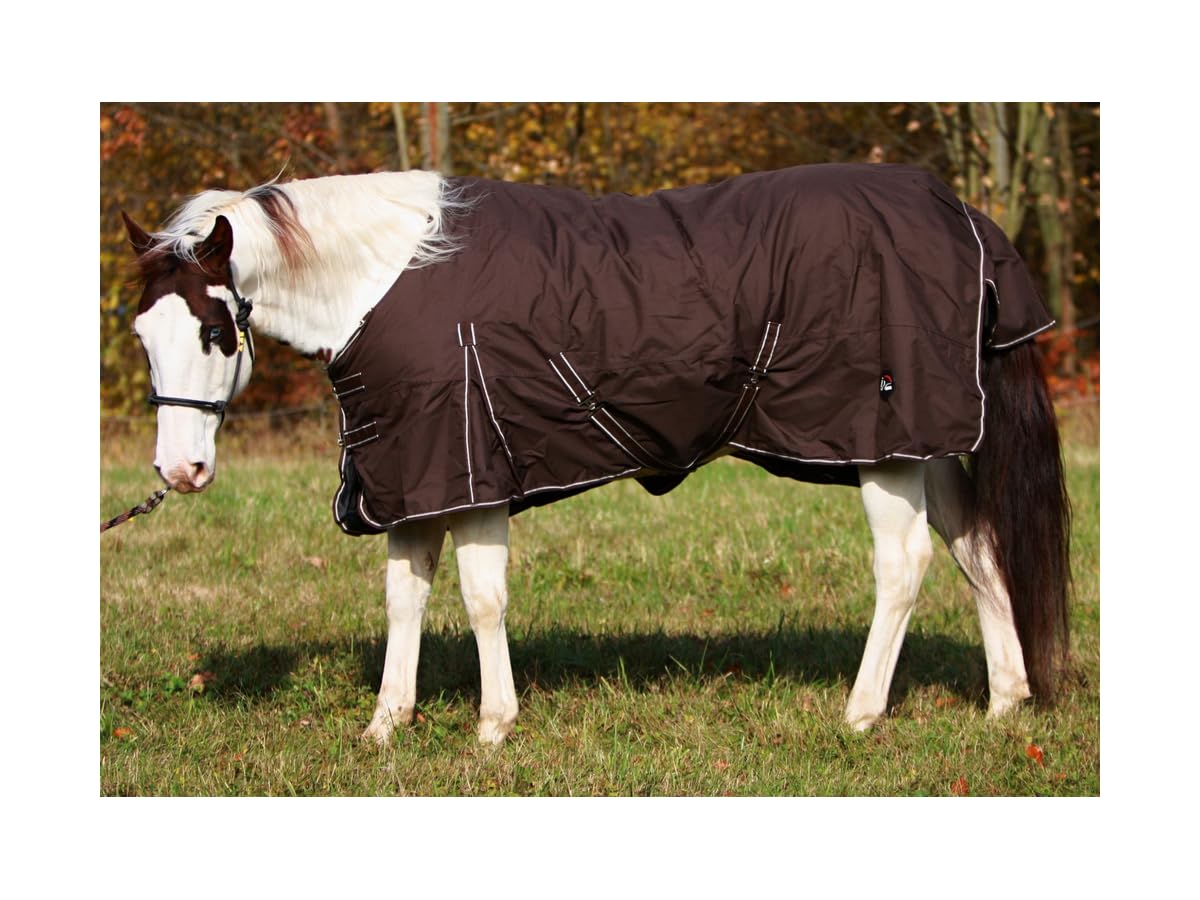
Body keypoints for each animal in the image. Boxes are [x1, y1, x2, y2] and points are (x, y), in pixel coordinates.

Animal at [120, 164, 1070, 746]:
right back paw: (1004, 701)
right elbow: (404, 598)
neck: (383, 279)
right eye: (141, 333)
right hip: (931, 440)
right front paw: (386, 726)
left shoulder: (473, 469)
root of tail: (963, 215)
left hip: (884, 447)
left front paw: (493, 726)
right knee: (979, 547)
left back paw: (862, 714)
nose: (180, 473)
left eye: (213, 332)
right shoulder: (416, 472)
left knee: (904, 567)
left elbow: (482, 600)